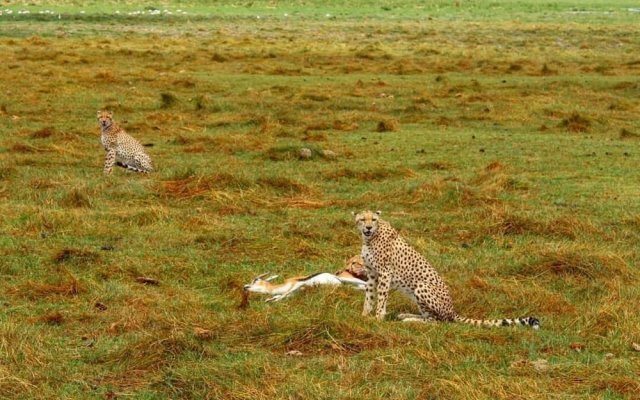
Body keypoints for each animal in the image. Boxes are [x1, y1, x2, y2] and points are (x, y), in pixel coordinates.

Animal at [356, 209, 540, 328]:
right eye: (362, 219)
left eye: (373, 219)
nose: (368, 228)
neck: (370, 238)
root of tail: (453, 310)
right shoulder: (372, 274)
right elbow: (369, 296)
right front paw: (364, 316)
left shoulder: (384, 273)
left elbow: (381, 298)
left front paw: (378, 318)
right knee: (429, 316)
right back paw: (406, 315)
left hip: (421, 287)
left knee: (438, 321)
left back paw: (410, 320)